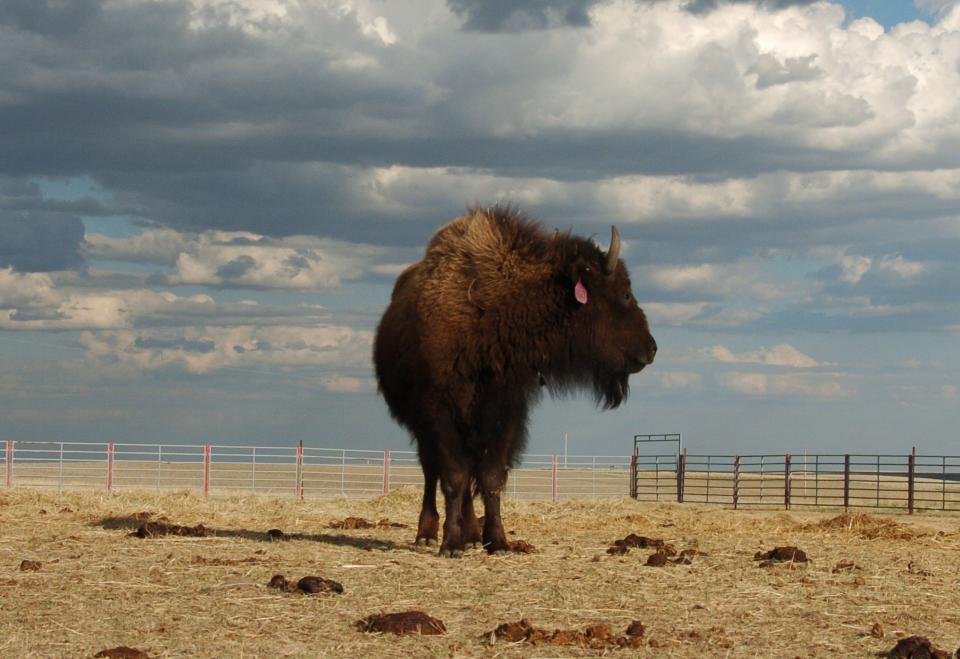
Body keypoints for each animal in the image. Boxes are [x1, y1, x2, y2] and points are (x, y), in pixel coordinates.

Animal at [376, 206, 660, 556]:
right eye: (624, 292)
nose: (651, 348)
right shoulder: (440, 412)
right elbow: (454, 476)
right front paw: (451, 544)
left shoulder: (505, 412)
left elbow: (491, 478)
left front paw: (496, 541)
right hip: (422, 426)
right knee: (432, 473)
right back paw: (428, 534)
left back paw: (471, 535)